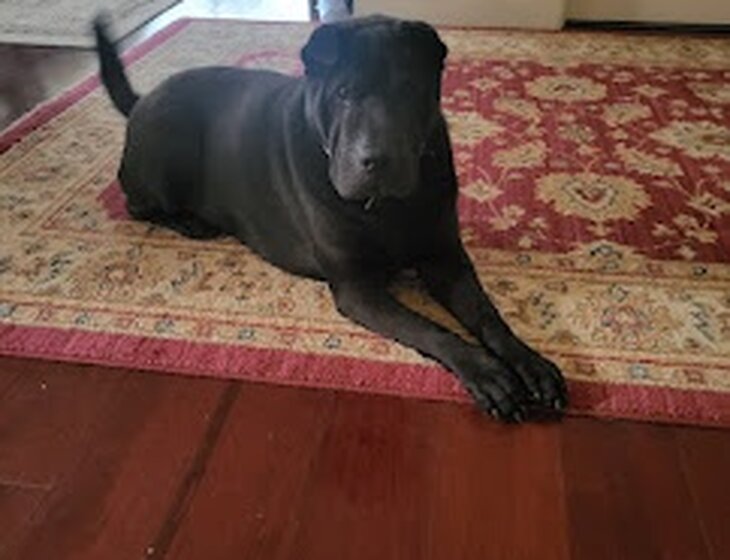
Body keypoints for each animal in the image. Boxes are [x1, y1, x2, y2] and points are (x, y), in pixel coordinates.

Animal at [93, 15, 568, 422]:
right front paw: (486, 372)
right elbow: (428, 327)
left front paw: (529, 362)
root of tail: (144, 99)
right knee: (137, 205)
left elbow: (486, 314)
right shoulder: (357, 289)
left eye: (409, 89)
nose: (378, 160)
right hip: (167, 148)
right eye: (343, 94)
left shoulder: (445, 259)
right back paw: (192, 223)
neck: (386, 207)